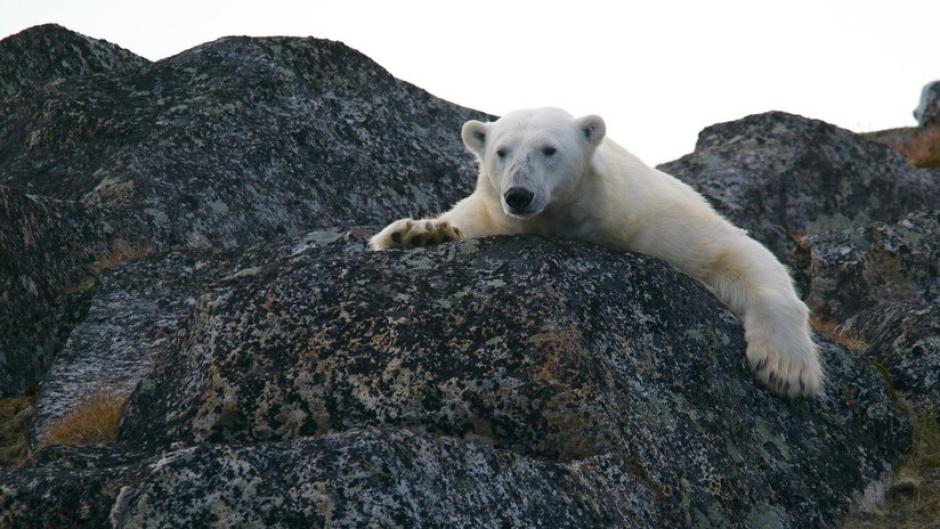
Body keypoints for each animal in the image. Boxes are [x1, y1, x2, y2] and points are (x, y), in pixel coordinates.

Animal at [370, 108, 823, 398]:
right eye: (501, 151)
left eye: (549, 149)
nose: (518, 194)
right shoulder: (490, 214)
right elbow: (455, 222)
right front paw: (416, 233)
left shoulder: (651, 218)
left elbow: (735, 252)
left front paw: (786, 370)